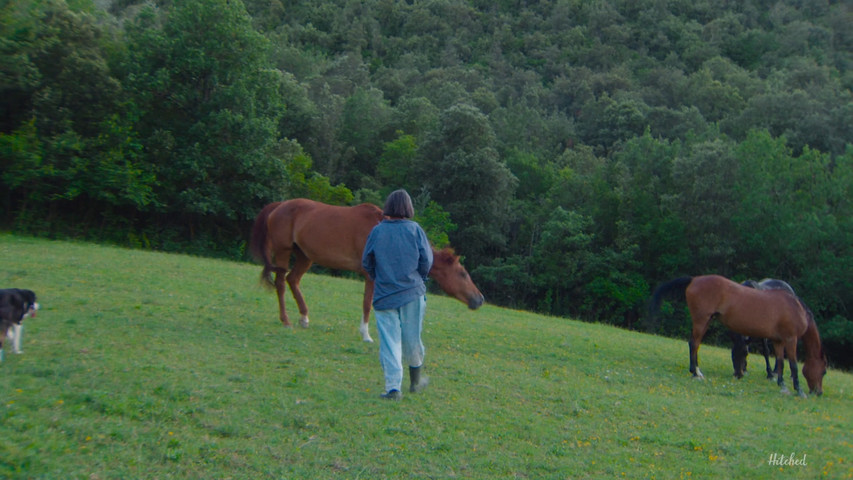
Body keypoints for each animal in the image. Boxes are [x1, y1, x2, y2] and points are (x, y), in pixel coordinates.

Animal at [248, 198, 486, 342]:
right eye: (463, 274)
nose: (480, 299)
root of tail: (279, 205)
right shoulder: (372, 275)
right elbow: (367, 304)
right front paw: (366, 334)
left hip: (305, 256)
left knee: (293, 280)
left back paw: (304, 318)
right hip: (283, 252)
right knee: (281, 283)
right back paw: (286, 321)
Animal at [652, 276, 824, 396]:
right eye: (824, 372)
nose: (818, 392)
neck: (795, 308)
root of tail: (694, 279)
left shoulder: (778, 341)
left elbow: (781, 362)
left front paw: (780, 383)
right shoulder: (790, 339)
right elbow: (793, 364)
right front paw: (799, 390)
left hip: (706, 321)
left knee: (694, 343)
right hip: (702, 321)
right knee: (694, 343)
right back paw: (696, 372)